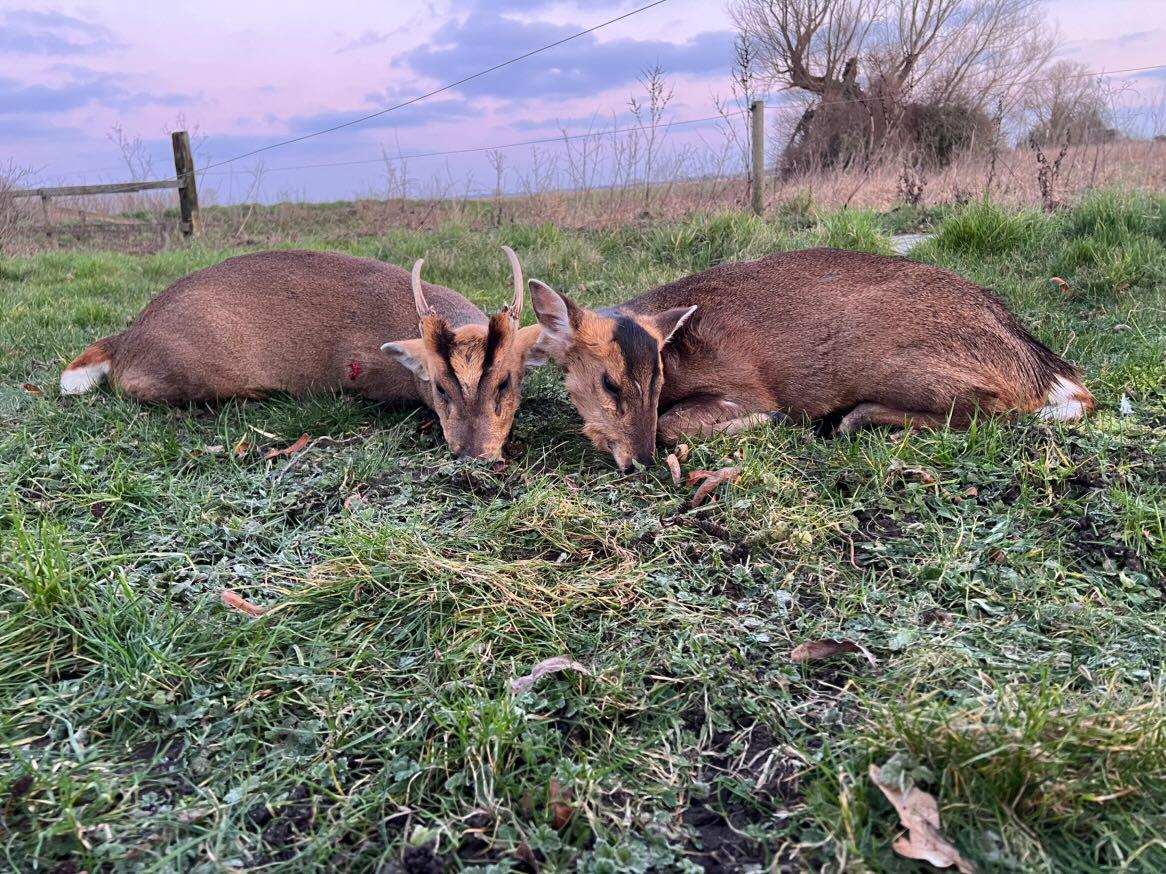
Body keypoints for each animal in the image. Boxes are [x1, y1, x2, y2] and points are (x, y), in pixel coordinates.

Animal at [525, 247, 1096, 471]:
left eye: (658, 377)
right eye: (610, 384)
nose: (639, 461)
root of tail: (1041, 366)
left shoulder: (745, 384)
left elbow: (674, 424)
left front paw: (772, 422)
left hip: (890, 357)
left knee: (997, 406)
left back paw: (851, 418)